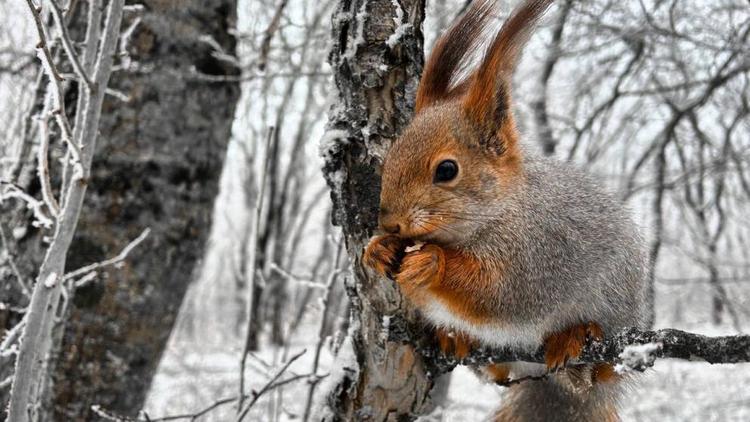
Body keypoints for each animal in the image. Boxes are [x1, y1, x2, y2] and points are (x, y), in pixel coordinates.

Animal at [362, 0, 648, 418]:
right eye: (392, 154)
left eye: (446, 170)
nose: (390, 223)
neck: (499, 211)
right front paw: (377, 249)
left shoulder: (537, 254)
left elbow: (498, 294)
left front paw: (433, 263)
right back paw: (458, 339)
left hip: (617, 318)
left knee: (600, 374)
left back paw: (577, 342)